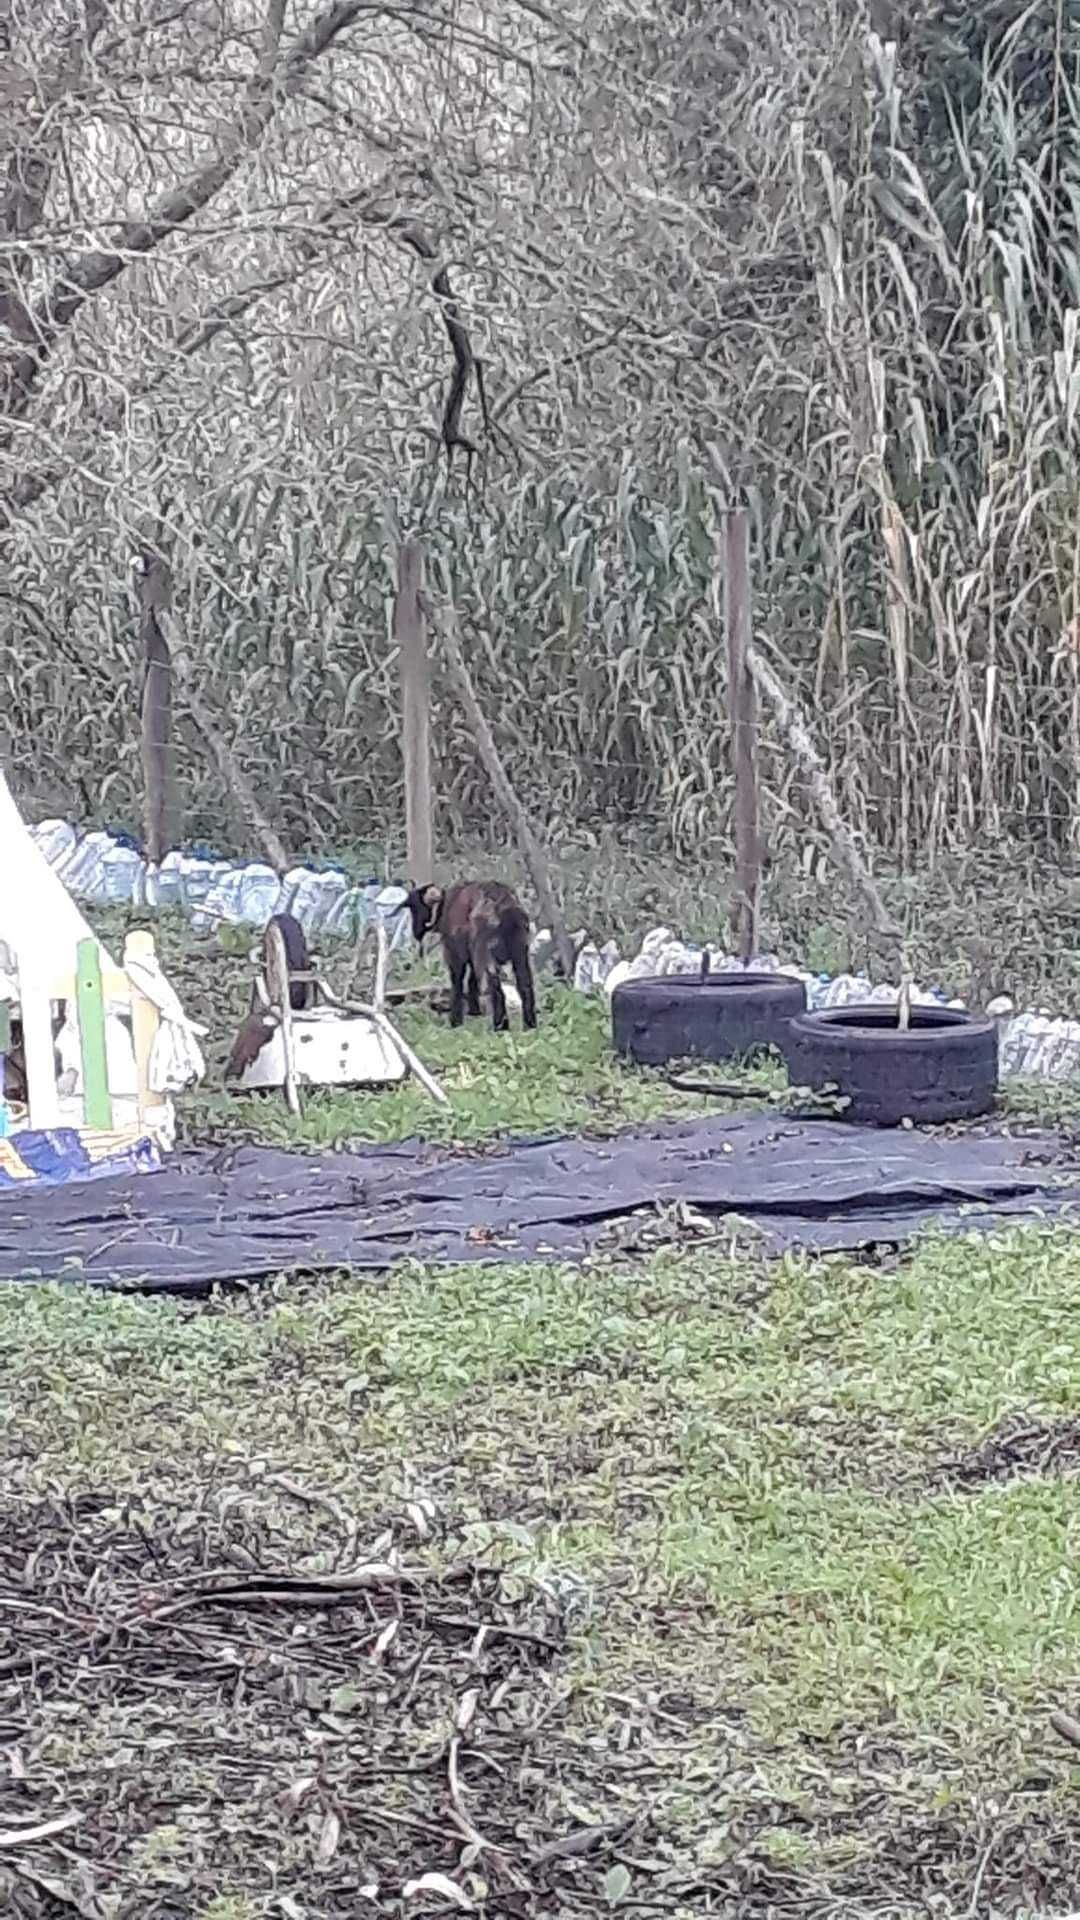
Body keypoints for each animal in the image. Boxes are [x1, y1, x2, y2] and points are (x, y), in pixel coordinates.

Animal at [401, 883, 534, 1036]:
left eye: (415, 906)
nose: (415, 932)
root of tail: (506, 907)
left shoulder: (454, 953)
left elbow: (457, 982)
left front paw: (456, 1021)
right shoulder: (470, 955)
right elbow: (471, 981)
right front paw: (474, 1011)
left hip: (484, 952)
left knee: (494, 987)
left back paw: (500, 1026)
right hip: (520, 951)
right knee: (525, 984)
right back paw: (530, 1026)